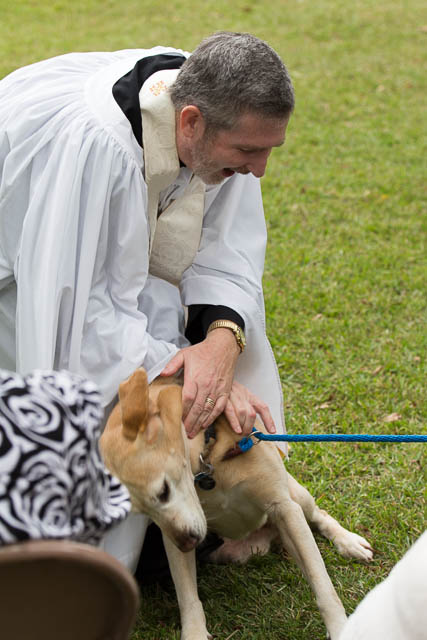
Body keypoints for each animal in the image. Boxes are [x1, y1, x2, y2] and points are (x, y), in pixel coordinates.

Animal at [99, 370, 372, 640]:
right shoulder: (174, 540)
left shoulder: (285, 509)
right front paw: (195, 632)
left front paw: (339, 627)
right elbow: (188, 598)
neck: (208, 460)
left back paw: (349, 542)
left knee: (320, 515)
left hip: (298, 497)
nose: (188, 544)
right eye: (141, 512)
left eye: (163, 491)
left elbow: (322, 583)